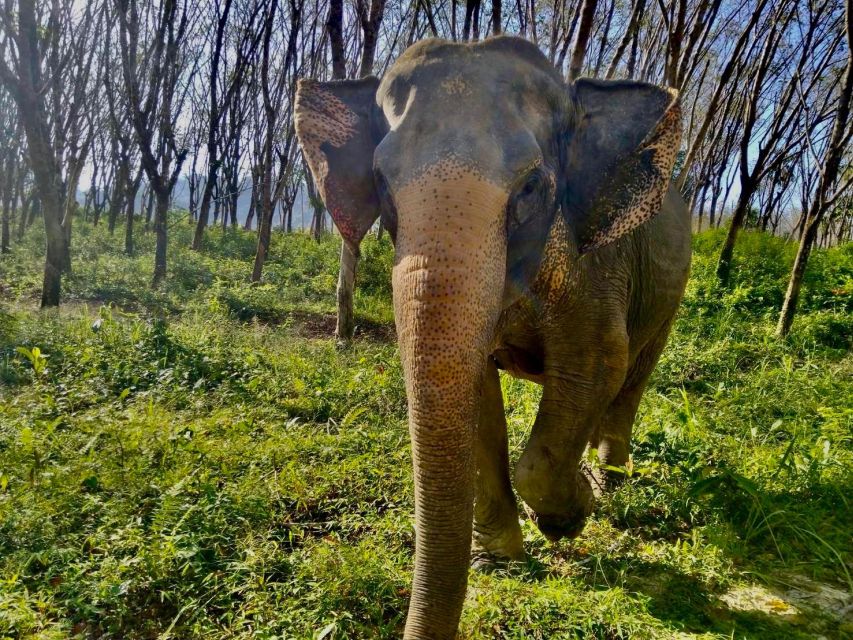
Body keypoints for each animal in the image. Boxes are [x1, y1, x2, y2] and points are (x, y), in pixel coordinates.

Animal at [296, 36, 688, 640]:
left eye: (531, 186)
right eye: (381, 183)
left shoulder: (596, 269)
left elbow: (599, 363)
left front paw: (571, 514)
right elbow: (475, 396)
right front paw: (502, 561)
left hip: (669, 290)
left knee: (632, 379)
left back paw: (610, 485)